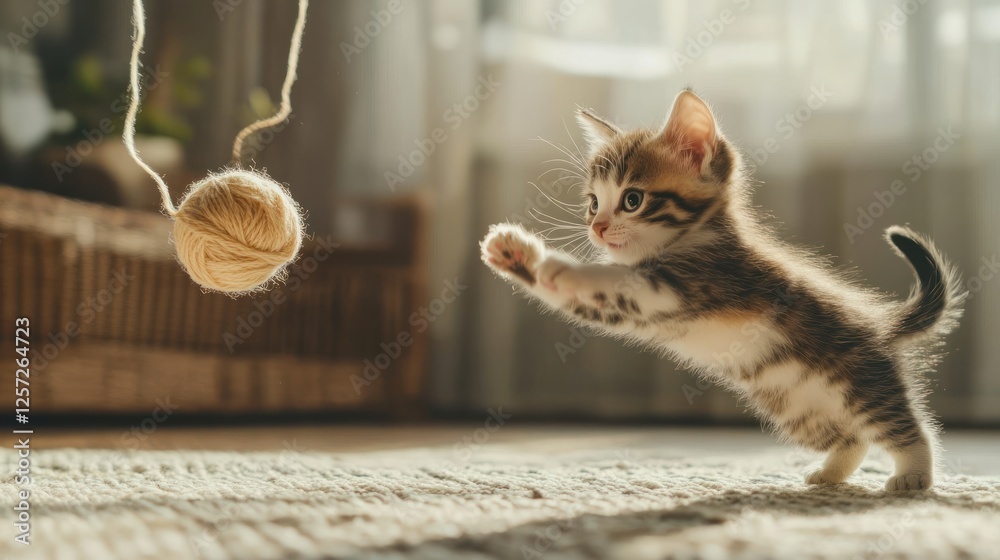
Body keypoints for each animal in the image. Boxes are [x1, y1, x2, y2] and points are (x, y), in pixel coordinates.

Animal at [480, 88, 964, 490]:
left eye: (633, 199)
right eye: (593, 203)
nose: (596, 228)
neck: (692, 239)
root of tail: (881, 325)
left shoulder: (695, 281)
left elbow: (613, 277)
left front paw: (563, 267)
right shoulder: (630, 306)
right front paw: (517, 256)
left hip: (859, 383)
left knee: (905, 426)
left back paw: (914, 476)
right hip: (798, 407)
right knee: (853, 437)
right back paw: (831, 473)